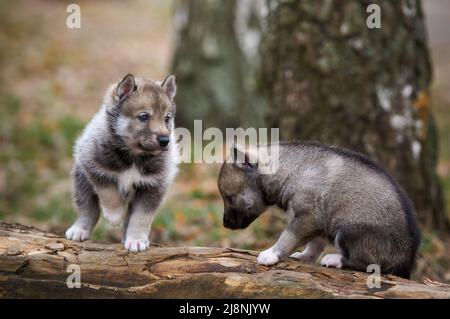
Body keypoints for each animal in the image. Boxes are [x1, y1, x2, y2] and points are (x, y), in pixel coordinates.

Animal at [65, 74, 178, 252]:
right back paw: (79, 229)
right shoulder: (96, 168)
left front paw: (136, 239)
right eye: (144, 117)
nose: (165, 140)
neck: (134, 156)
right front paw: (114, 215)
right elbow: (109, 193)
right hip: (81, 181)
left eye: (167, 118)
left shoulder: (152, 188)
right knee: (88, 209)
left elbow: (141, 218)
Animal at [218, 141, 422, 278]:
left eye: (229, 197)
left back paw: (335, 260)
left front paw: (271, 253)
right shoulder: (318, 224)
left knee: (366, 262)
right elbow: (314, 244)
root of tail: (406, 262)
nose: (225, 225)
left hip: (348, 230)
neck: (289, 170)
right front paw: (305, 256)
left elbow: (287, 236)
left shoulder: (307, 217)